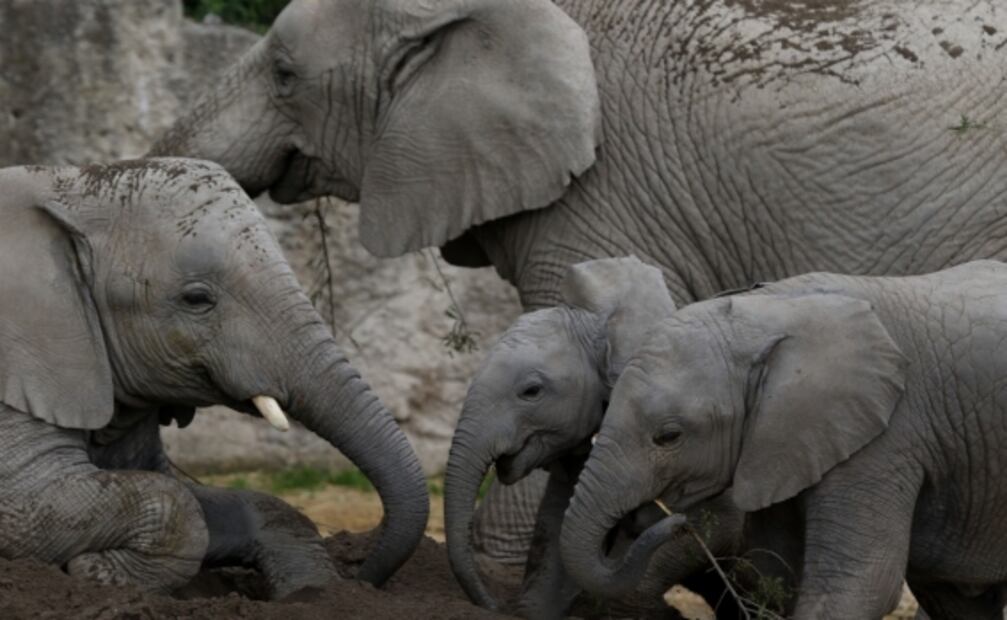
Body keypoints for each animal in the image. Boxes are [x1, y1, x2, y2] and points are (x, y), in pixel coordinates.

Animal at [0, 159, 428, 596]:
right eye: (197, 299)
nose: (365, 577)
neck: (66, 186)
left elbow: (211, 497)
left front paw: (315, 592)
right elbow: (26, 505)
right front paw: (95, 571)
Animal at [561, 260, 1007, 619]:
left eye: (668, 437)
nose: (677, 522)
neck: (770, 312)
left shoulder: (885, 439)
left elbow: (858, 586)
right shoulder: (778, 441)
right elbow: (772, 578)